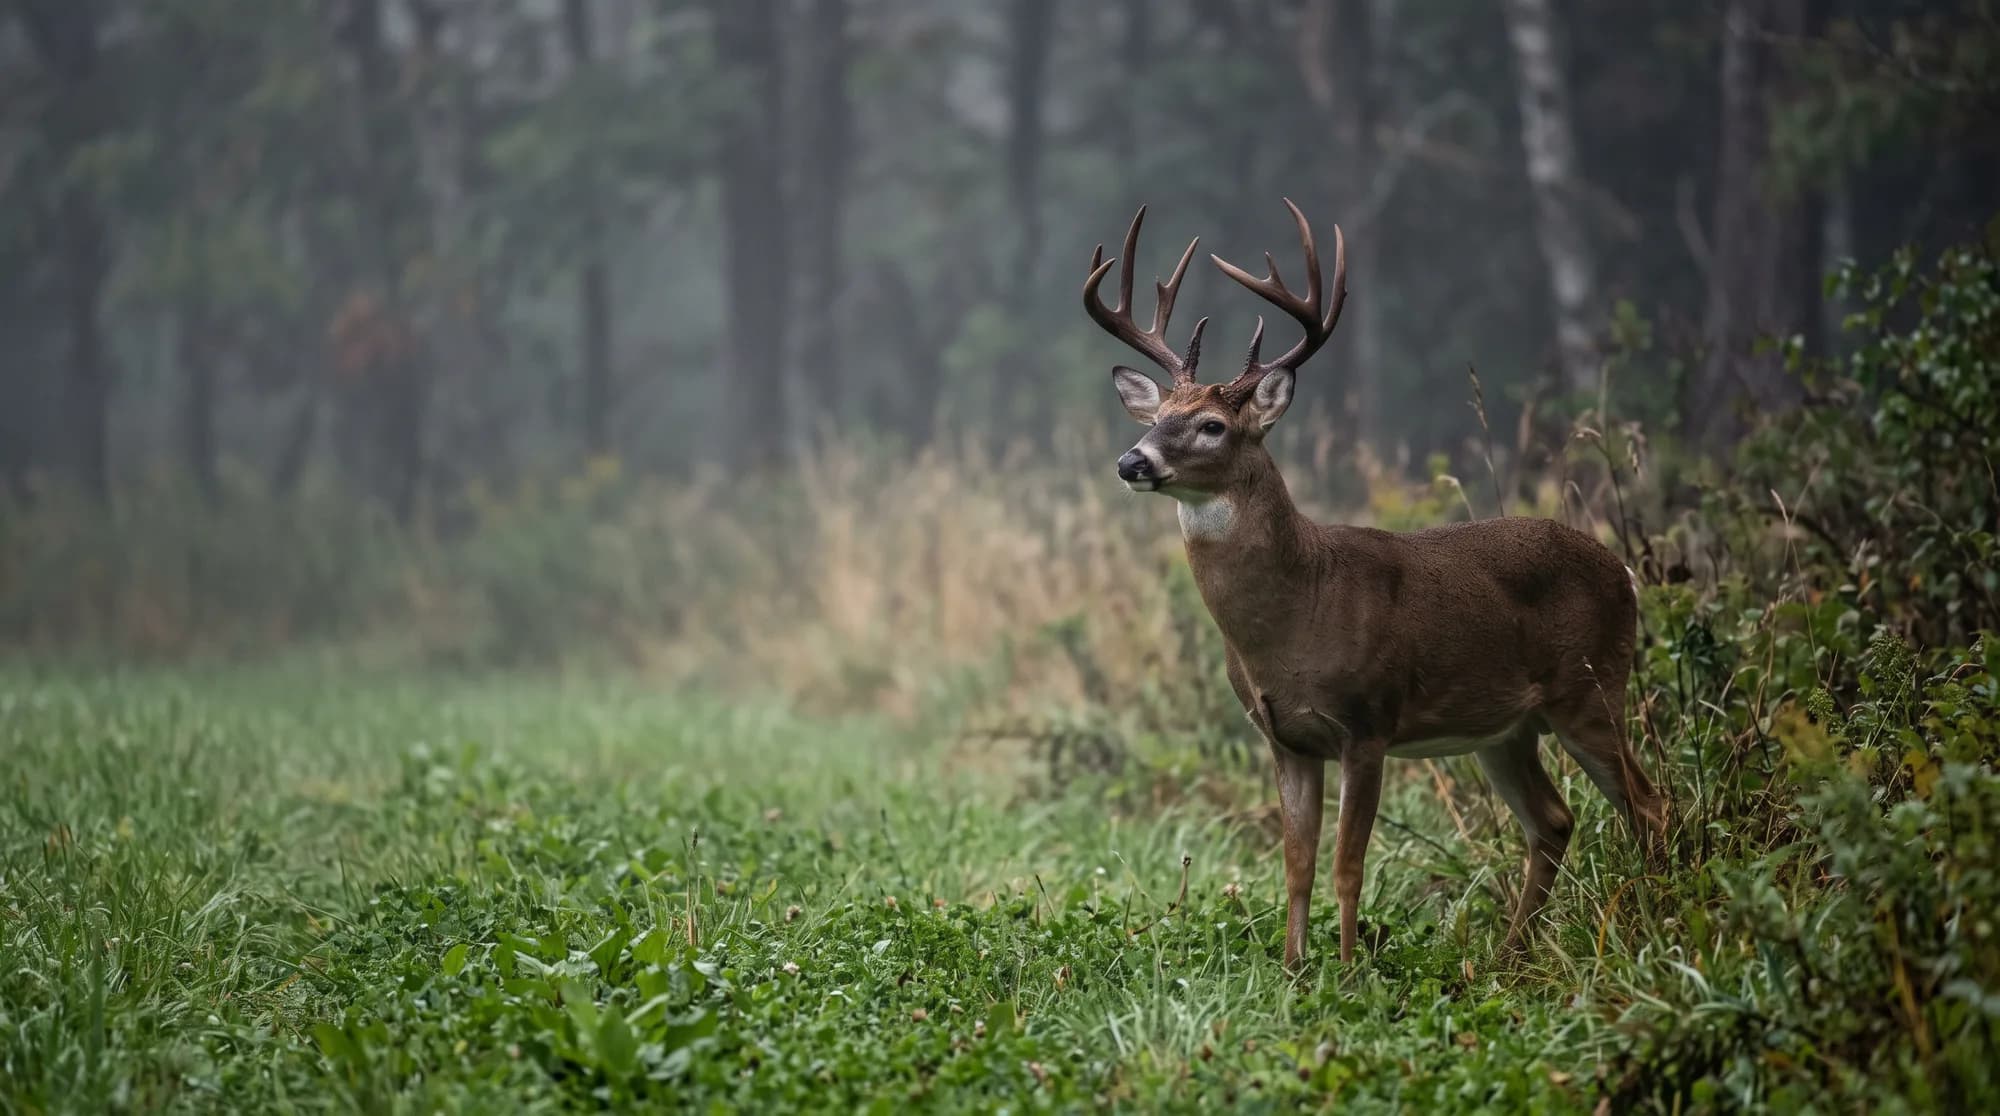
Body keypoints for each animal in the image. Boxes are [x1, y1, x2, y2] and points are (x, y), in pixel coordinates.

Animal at [1082, 200, 1669, 969]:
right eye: (1155, 418)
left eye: (1211, 425)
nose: (1132, 461)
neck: (1297, 615)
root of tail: (1624, 571)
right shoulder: (1284, 737)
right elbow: (1296, 863)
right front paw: (1294, 968)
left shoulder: (1368, 721)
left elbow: (1347, 864)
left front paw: (1348, 968)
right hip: (1506, 728)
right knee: (1555, 819)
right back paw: (1509, 958)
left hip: (1591, 688)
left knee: (1648, 803)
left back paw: (1662, 921)